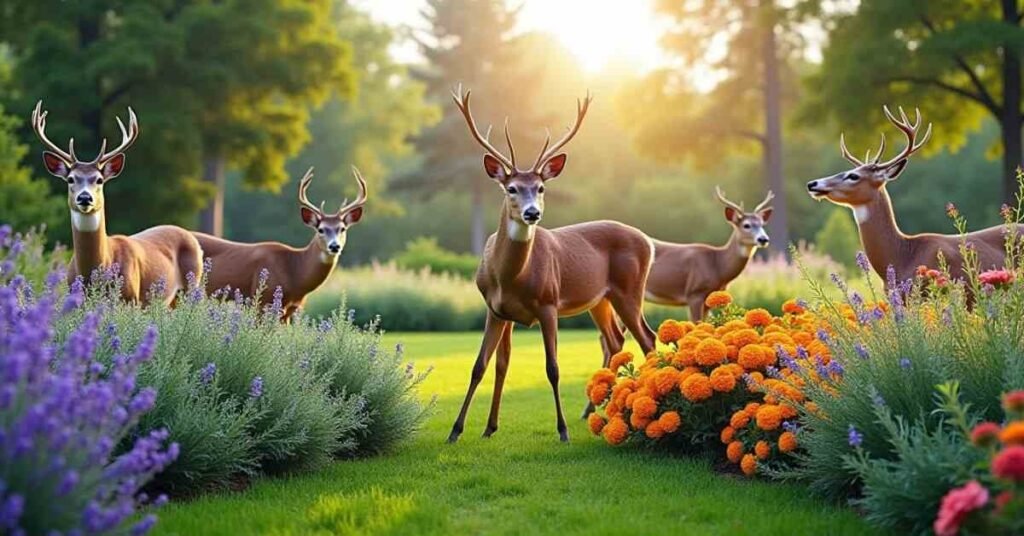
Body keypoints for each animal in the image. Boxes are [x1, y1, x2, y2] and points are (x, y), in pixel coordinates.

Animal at [32, 101, 203, 306]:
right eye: (71, 179)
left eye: (99, 180)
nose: (85, 198)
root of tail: (193, 238)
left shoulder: (130, 298)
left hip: (190, 285)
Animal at [192, 167, 366, 321]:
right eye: (321, 229)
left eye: (342, 228)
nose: (334, 246)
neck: (295, 272)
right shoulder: (264, 301)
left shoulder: (291, 309)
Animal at [446, 86, 657, 444]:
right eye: (511, 188)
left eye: (541, 187)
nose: (532, 213)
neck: (509, 278)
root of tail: (650, 242)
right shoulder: (496, 309)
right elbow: (487, 365)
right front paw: (471, 430)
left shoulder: (548, 303)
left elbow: (553, 368)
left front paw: (562, 431)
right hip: (600, 299)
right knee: (616, 339)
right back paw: (595, 410)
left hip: (630, 290)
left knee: (647, 338)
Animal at [643, 187, 774, 321]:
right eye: (746, 225)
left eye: (762, 224)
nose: (763, 239)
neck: (718, 265)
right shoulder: (694, 293)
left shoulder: (709, 298)